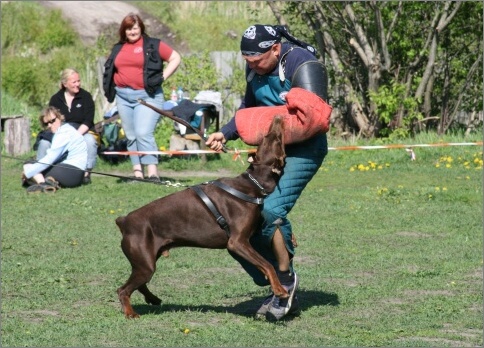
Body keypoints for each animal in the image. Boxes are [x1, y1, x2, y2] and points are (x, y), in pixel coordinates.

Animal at [115, 117, 286, 318]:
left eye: (268, 139)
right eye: (274, 139)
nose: (278, 118)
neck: (252, 184)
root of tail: (124, 221)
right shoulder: (237, 242)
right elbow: (268, 265)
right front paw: (280, 289)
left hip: (147, 259)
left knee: (140, 284)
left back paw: (153, 299)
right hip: (145, 263)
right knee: (123, 289)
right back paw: (130, 313)